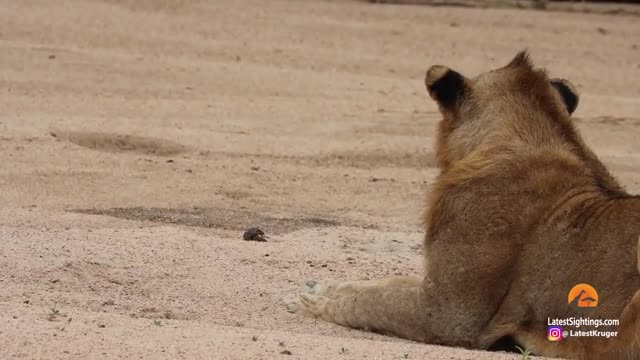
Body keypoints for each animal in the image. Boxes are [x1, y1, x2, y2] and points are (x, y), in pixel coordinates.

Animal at [288, 51, 640, 360]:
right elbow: (389, 283)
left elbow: (373, 301)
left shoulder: (447, 313)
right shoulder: (432, 287)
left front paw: (312, 300)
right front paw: (321, 286)